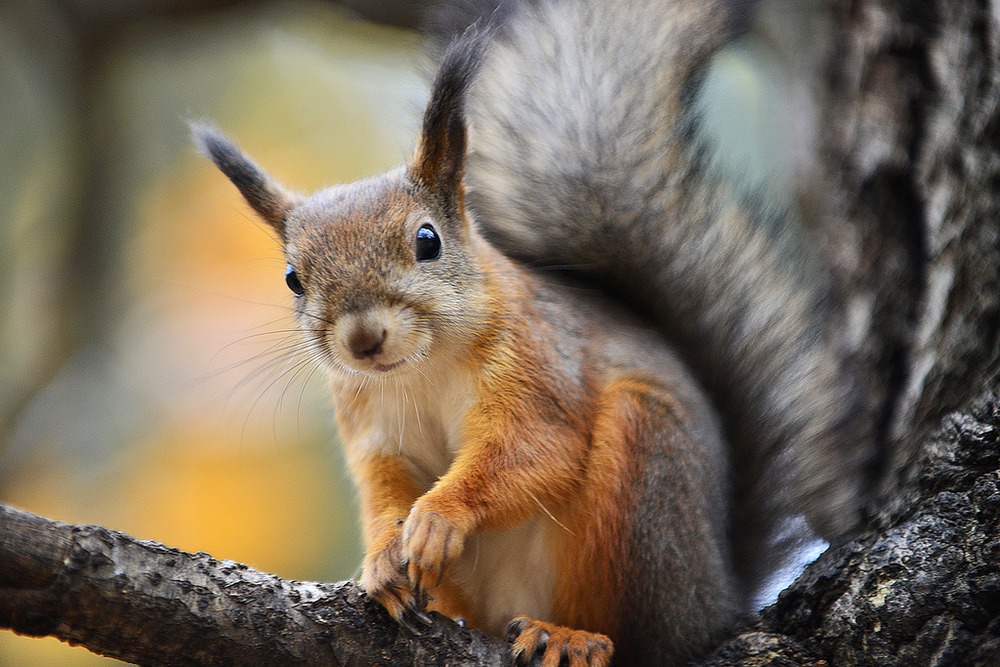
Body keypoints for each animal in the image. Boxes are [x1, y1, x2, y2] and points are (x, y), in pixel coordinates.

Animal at [191, 0, 872, 664]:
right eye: (292, 279)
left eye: (427, 240)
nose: (363, 340)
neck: (423, 370)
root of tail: (716, 602)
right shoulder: (375, 429)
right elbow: (385, 491)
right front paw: (384, 558)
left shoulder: (541, 366)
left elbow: (534, 451)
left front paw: (439, 516)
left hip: (642, 484)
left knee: (632, 630)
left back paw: (572, 636)